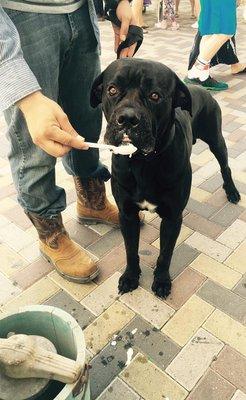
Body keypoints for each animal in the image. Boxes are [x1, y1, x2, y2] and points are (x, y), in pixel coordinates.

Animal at [90, 58, 240, 296]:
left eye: (155, 95)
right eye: (112, 90)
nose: (127, 119)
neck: (142, 162)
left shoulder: (172, 217)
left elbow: (165, 254)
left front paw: (161, 281)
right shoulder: (127, 214)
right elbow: (130, 250)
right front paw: (130, 277)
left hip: (216, 139)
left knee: (225, 167)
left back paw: (232, 192)